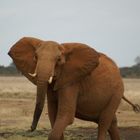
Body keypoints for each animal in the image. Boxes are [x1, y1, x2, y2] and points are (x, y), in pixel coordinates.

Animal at [7, 37, 140, 140]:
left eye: (58, 60)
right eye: (35, 57)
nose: (31, 128)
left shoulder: (71, 82)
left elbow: (66, 115)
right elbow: (53, 114)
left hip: (116, 92)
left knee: (104, 122)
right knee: (112, 123)